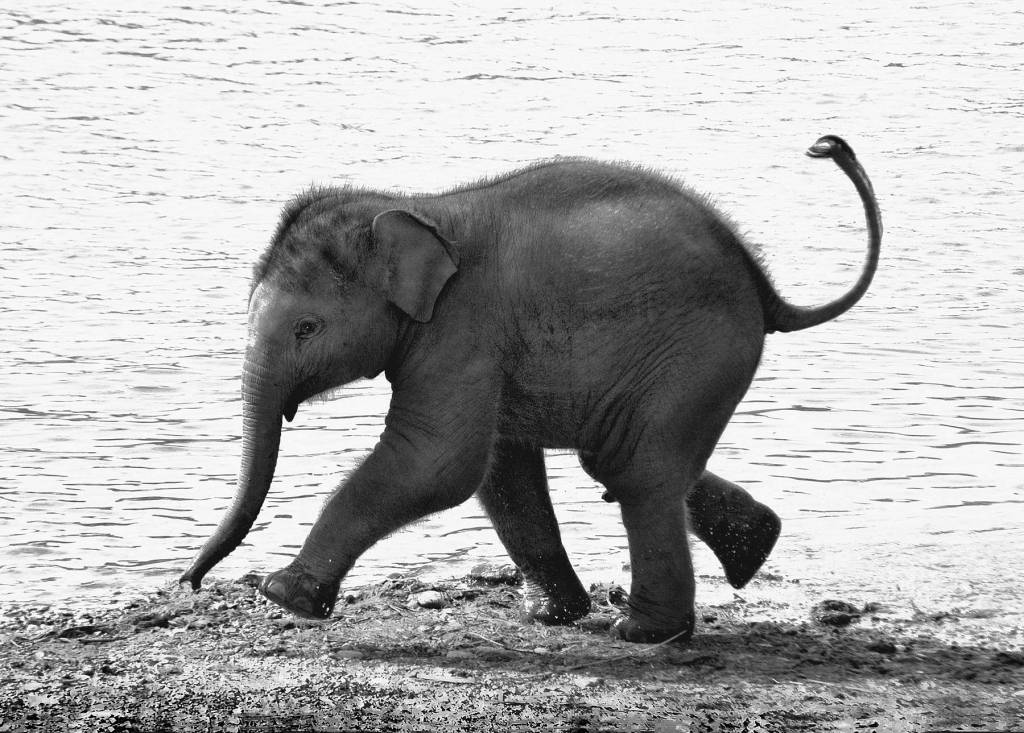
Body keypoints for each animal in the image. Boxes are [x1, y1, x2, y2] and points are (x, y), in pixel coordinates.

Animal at [181, 134, 881, 644]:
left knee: (637, 470)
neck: (418, 208)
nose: (190, 581)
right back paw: (754, 546)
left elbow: (440, 462)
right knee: (626, 462)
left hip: (695, 355)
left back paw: (643, 632)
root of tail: (765, 289)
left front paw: (283, 595)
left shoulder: (462, 330)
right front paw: (551, 616)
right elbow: (500, 467)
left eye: (307, 327)